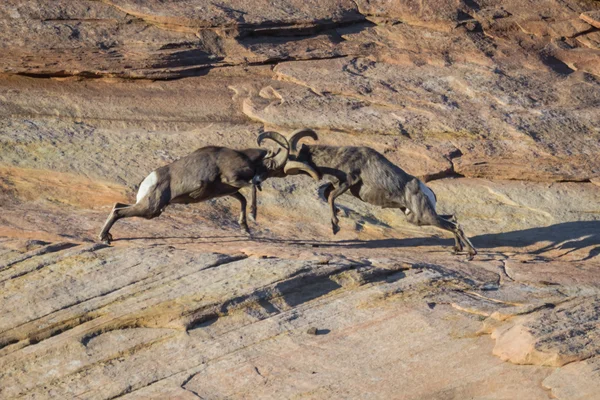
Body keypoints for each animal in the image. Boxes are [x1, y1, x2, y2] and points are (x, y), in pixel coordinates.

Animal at [97, 132, 318, 244]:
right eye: (272, 166)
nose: (263, 177)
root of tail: (149, 179)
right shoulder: (233, 179)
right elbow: (252, 191)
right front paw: (253, 217)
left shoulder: (230, 189)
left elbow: (243, 199)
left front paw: (245, 229)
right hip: (151, 208)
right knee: (118, 211)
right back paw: (104, 238)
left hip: (151, 208)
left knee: (117, 206)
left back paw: (107, 237)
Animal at [276, 128, 478, 260]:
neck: (337, 158)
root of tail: (424, 189)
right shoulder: (339, 185)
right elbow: (328, 195)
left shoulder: (349, 181)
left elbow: (331, 197)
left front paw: (335, 226)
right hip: (417, 218)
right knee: (453, 220)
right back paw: (457, 249)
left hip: (424, 216)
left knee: (453, 225)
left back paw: (470, 254)